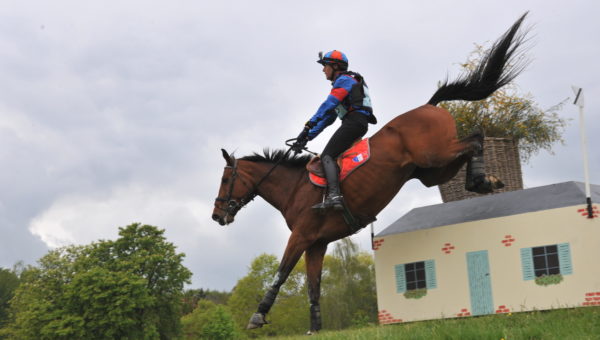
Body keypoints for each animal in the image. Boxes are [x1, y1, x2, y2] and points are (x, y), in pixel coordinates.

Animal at [213, 13, 528, 334]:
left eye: (225, 180)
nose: (216, 215)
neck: (293, 188)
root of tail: (429, 105)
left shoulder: (301, 236)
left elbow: (281, 272)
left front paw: (258, 315)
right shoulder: (317, 244)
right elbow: (313, 287)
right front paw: (315, 327)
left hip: (435, 154)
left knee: (475, 137)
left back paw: (481, 179)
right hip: (432, 172)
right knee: (468, 147)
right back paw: (484, 180)